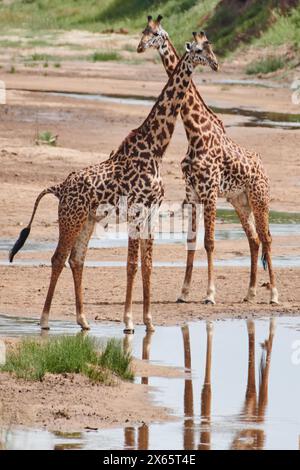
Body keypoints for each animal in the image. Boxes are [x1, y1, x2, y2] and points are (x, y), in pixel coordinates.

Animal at [8, 34, 217, 334]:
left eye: (211, 48)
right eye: (199, 49)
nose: (215, 63)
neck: (156, 148)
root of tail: (59, 188)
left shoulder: (151, 213)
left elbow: (147, 266)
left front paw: (149, 322)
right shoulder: (136, 211)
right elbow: (131, 265)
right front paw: (128, 322)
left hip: (87, 220)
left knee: (76, 259)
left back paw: (83, 321)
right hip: (70, 218)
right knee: (58, 258)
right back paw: (45, 321)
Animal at [138, 15, 278, 304]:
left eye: (155, 34)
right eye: (144, 32)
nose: (216, 64)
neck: (194, 132)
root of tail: (262, 166)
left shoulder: (210, 192)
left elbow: (210, 242)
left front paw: (210, 294)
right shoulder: (192, 193)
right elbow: (192, 241)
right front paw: (183, 292)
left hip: (260, 198)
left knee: (267, 238)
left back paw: (273, 295)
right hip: (240, 201)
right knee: (254, 240)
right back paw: (249, 293)